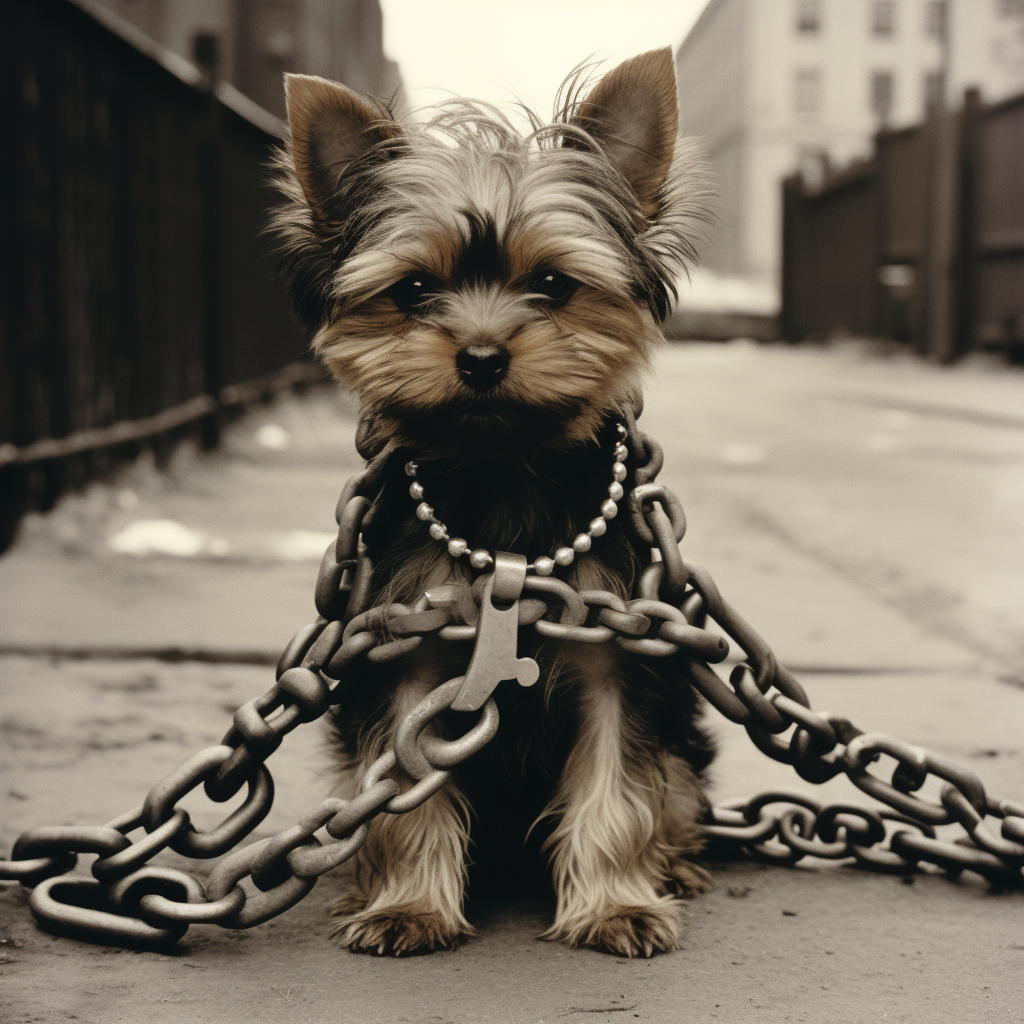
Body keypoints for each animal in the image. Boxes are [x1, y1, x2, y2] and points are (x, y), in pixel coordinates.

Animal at [276, 48, 716, 958]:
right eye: (413, 290)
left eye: (552, 283)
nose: (481, 355)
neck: (505, 469)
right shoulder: (405, 647)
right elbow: (401, 789)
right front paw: (407, 905)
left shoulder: (616, 649)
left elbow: (619, 783)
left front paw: (615, 904)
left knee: (676, 787)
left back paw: (676, 863)